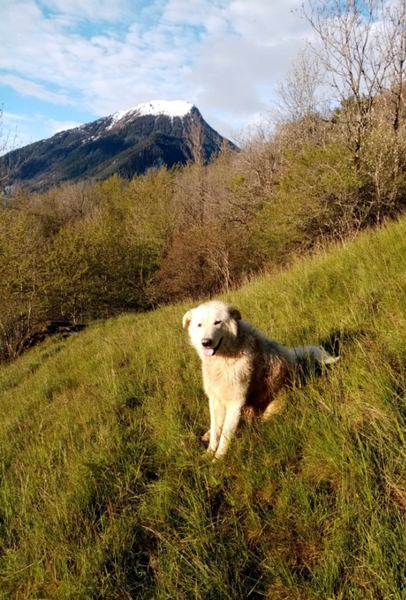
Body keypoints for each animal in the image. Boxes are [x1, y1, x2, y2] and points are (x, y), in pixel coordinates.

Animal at [182, 300, 338, 460]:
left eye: (217, 322)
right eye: (200, 325)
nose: (206, 342)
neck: (224, 358)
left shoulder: (235, 403)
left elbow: (225, 435)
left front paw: (218, 459)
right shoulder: (215, 400)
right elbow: (216, 432)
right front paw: (208, 455)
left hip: (270, 411)